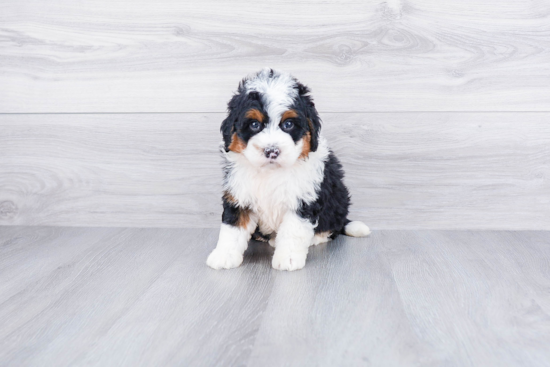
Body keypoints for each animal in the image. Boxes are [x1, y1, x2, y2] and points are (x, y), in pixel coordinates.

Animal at [207, 68, 370, 274]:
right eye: (254, 125)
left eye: (288, 125)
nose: (272, 151)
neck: (271, 172)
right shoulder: (239, 195)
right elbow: (232, 228)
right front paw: (224, 255)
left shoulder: (303, 199)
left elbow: (294, 230)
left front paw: (288, 259)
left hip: (338, 200)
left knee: (331, 228)